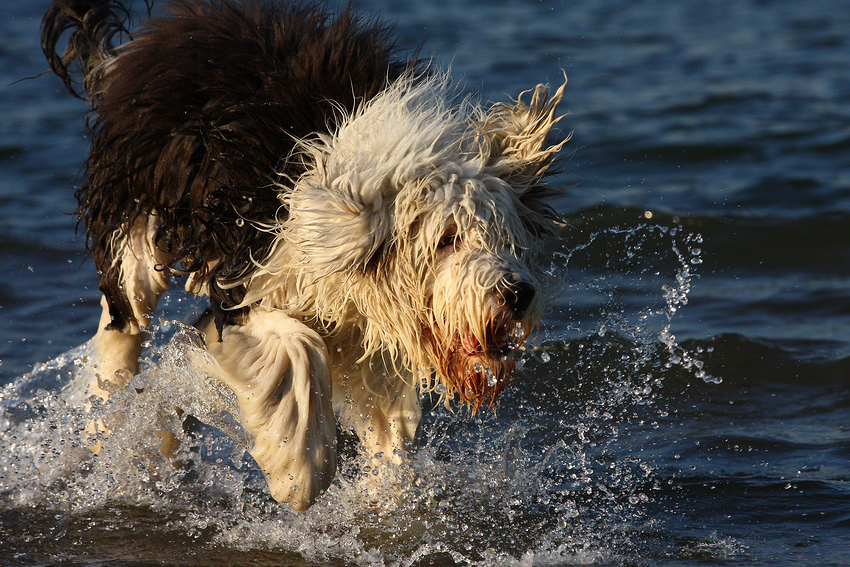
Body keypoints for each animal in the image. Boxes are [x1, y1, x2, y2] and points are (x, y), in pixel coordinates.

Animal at [43, 0, 568, 510]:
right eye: (446, 239)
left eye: (507, 239)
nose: (517, 294)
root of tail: (137, 48)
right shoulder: (248, 282)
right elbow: (298, 347)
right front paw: (298, 471)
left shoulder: (372, 345)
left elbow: (391, 435)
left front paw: (388, 503)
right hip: (136, 217)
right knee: (123, 325)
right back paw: (113, 422)